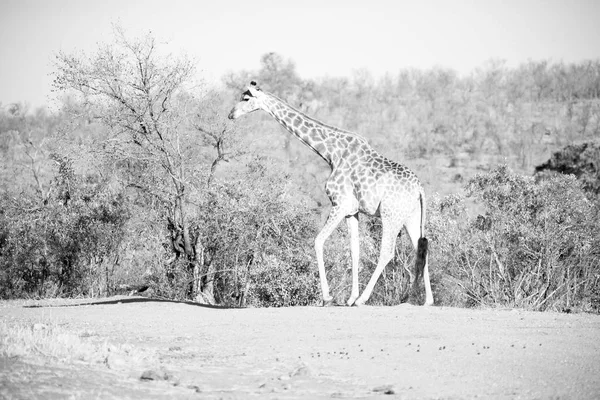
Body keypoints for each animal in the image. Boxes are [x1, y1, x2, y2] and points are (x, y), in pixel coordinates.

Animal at [229, 81, 432, 306]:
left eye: (245, 98)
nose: (231, 114)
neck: (331, 153)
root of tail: (419, 188)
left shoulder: (339, 204)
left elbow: (318, 241)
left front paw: (328, 296)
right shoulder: (352, 211)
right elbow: (354, 251)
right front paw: (350, 298)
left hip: (391, 214)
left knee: (387, 252)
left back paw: (365, 299)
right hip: (411, 216)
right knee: (421, 248)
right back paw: (424, 300)